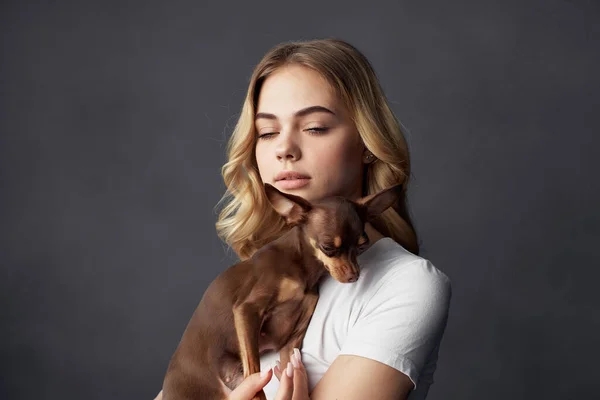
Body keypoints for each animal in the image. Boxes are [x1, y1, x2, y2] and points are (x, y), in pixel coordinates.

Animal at [161, 183, 404, 398]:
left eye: (362, 246)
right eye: (328, 248)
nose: (354, 275)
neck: (301, 266)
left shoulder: (290, 345)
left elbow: (289, 368)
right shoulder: (247, 310)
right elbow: (255, 376)